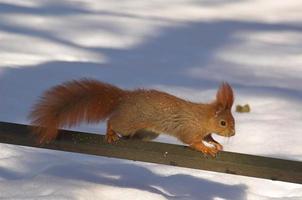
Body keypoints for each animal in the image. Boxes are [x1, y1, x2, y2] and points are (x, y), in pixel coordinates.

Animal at [28, 79, 236, 156]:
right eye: (223, 122)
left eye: (233, 121)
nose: (233, 134)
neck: (203, 118)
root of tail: (124, 98)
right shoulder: (189, 128)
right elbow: (192, 140)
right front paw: (205, 148)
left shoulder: (203, 130)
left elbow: (208, 136)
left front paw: (216, 143)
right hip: (128, 121)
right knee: (112, 121)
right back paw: (111, 133)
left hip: (147, 132)